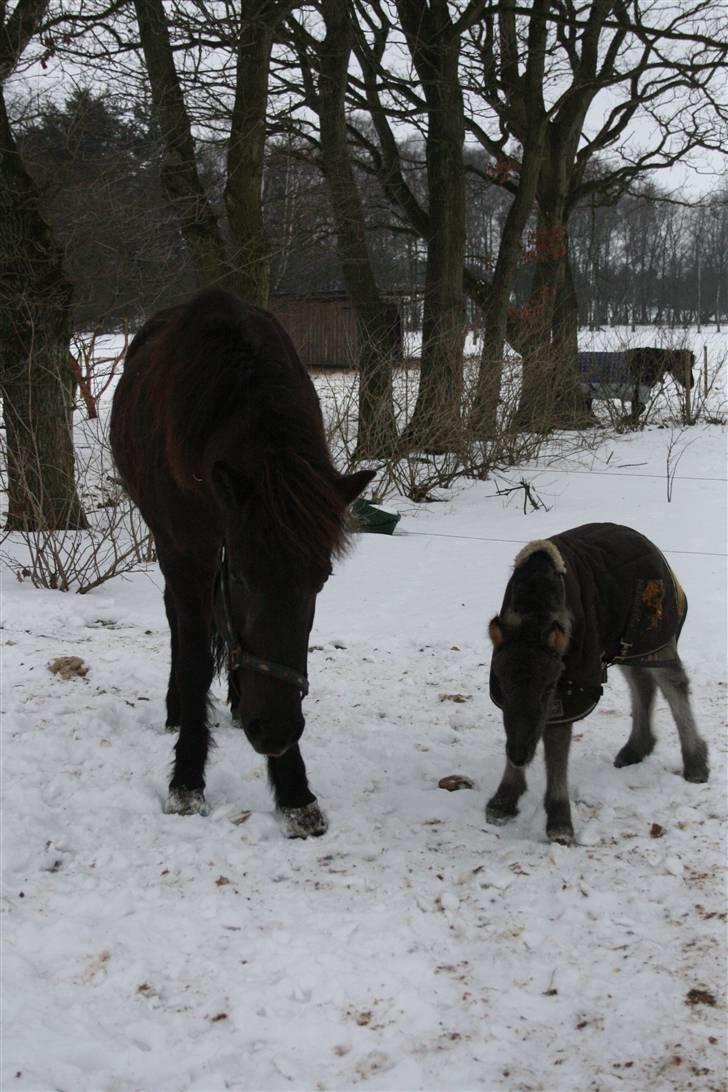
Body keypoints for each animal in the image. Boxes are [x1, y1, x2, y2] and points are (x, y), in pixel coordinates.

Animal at [114, 290, 375, 834]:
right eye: (243, 577)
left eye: (321, 581)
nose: (274, 731)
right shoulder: (187, 550)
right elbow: (193, 659)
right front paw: (187, 780)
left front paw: (294, 789)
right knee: (178, 623)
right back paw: (179, 710)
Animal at [486, 524, 707, 847]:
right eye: (501, 685)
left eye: (547, 687)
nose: (518, 755)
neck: (533, 610)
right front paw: (503, 801)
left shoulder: (574, 682)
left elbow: (556, 744)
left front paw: (559, 821)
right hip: (624, 646)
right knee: (642, 683)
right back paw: (636, 748)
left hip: (655, 639)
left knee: (674, 683)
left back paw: (696, 763)